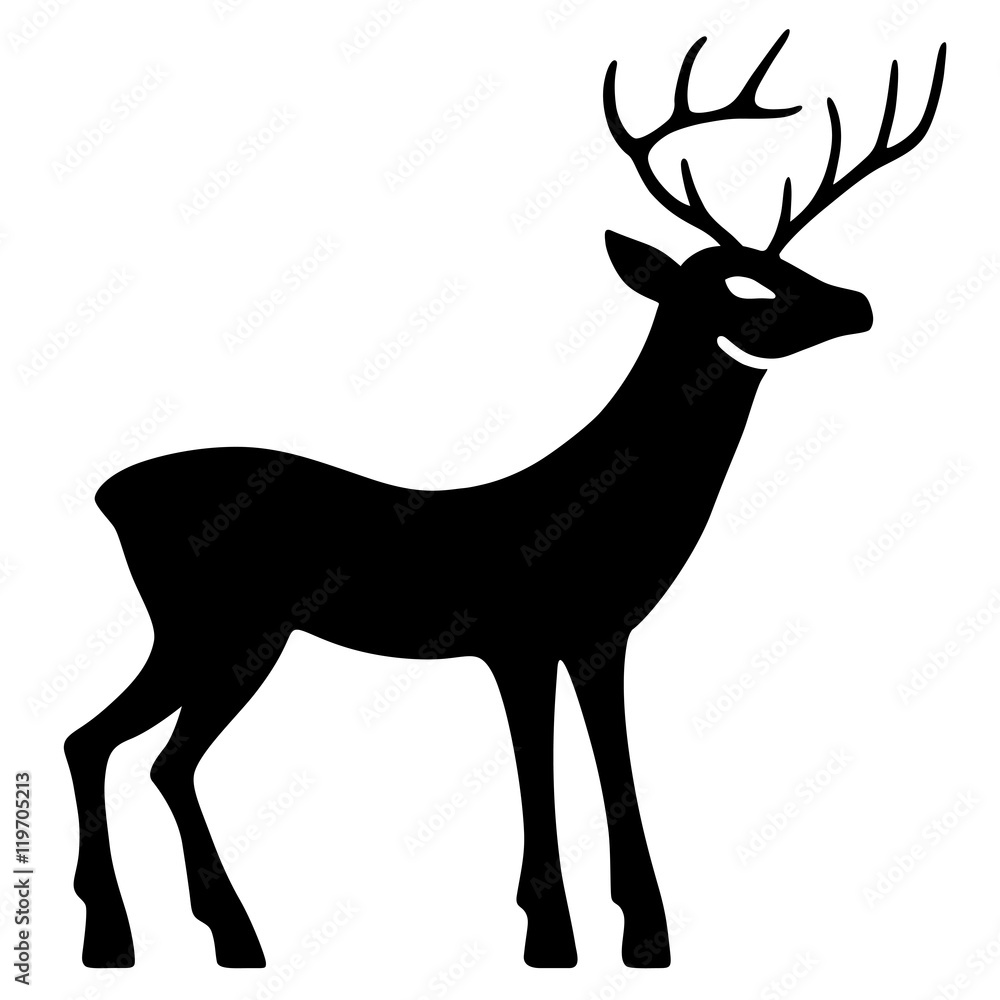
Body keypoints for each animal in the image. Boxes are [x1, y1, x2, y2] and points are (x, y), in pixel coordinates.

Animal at [66, 30, 946, 972]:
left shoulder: (600, 637)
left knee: (131, 751)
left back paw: (188, 938)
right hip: (221, 628)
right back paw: (156, 936)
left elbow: (613, 767)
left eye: (787, 264)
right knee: (132, 749)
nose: (859, 302)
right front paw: (551, 937)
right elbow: (537, 770)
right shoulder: (518, 641)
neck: (602, 504)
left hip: (208, 634)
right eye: (751, 286)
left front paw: (644, 937)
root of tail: (109, 493)